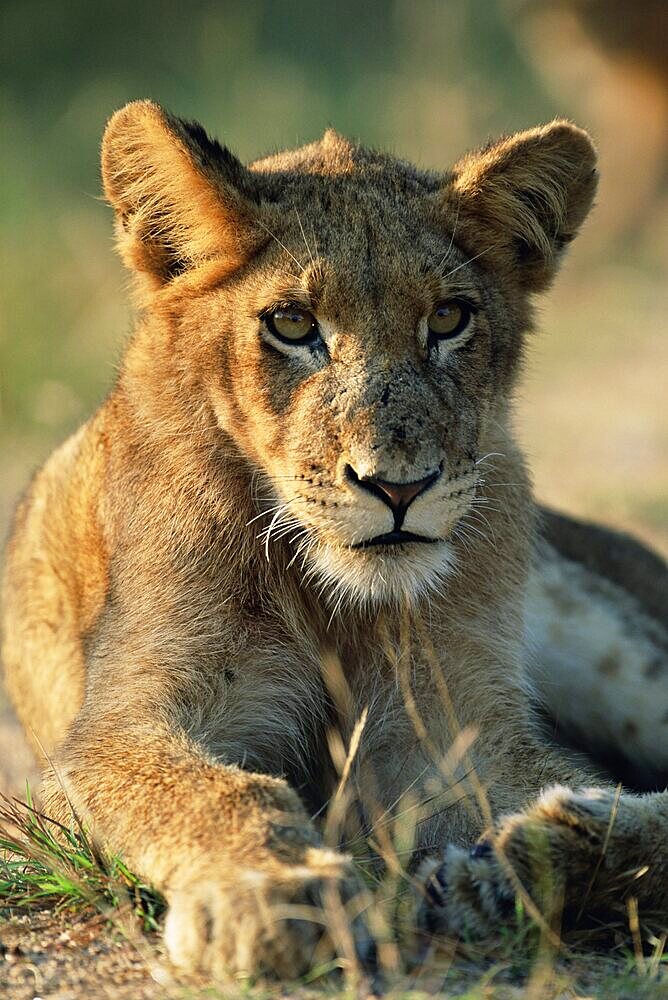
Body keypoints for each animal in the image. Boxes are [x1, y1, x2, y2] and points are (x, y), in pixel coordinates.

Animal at [1, 99, 668, 976]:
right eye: (291, 324)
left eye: (448, 319)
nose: (398, 487)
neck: (329, 602)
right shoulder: (112, 732)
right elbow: (211, 791)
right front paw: (273, 891)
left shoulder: (448, 727)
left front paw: (515, 859)